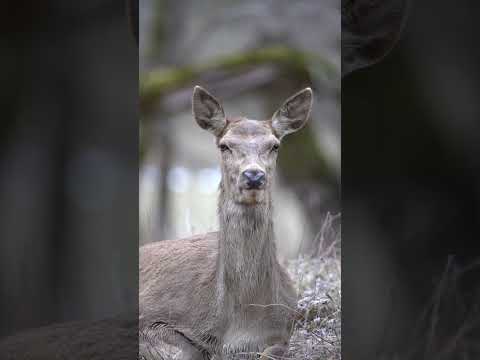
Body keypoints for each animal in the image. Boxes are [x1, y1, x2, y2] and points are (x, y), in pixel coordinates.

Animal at [138, 86, 316, 358]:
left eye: (274, 146)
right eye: (225, 146)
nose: (253, 176)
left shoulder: (284, 331)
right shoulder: (148, 318)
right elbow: (187, 350)